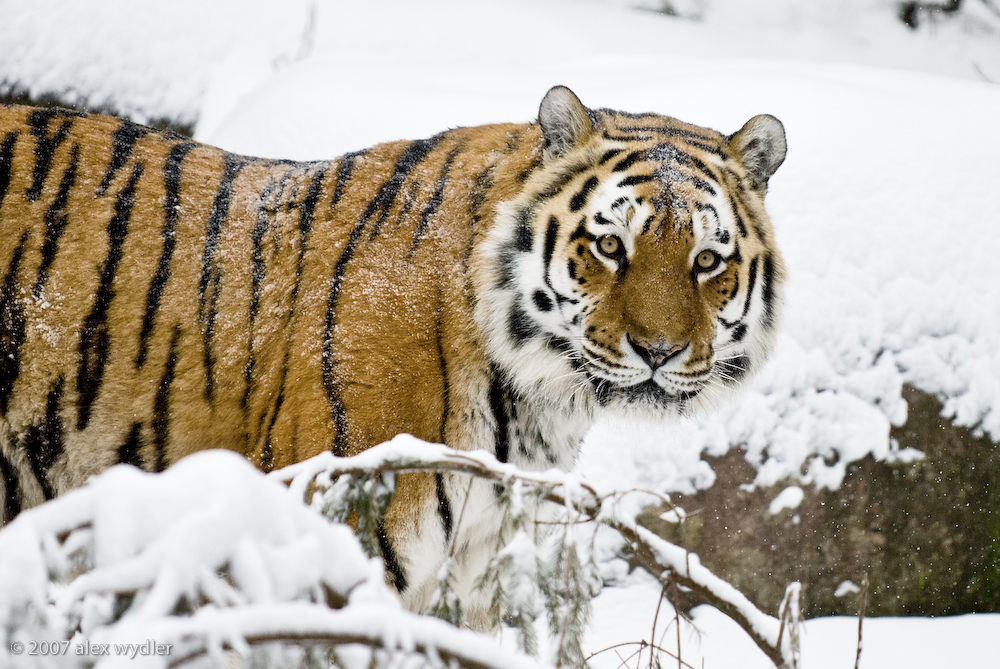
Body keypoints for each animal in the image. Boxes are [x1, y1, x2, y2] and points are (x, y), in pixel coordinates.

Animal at [0, 86, 786, 626]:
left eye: (707, 260)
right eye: (610, 246)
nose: (658, 351)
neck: (535, 397)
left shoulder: (472, 574)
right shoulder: (334, 544)